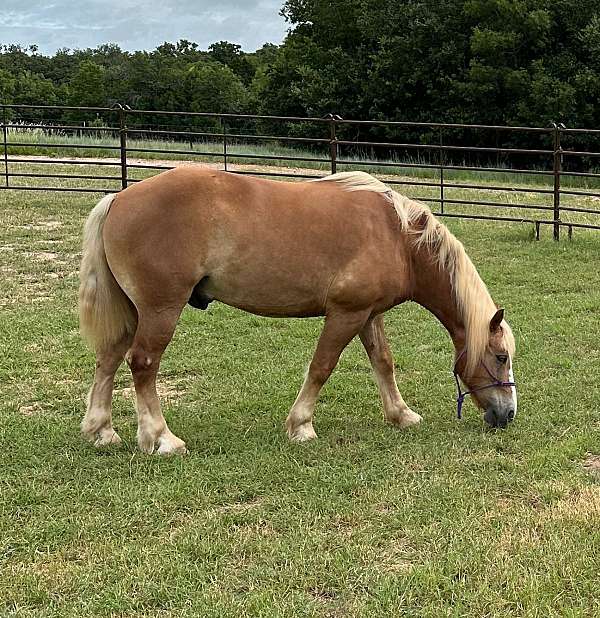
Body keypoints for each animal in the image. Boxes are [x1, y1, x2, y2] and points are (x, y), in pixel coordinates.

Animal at [79, 167, 516, 452]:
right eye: (501, 357)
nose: (508, 413)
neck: (397, 236)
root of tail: (118, 198)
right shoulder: (345, 313)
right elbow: (322, 366)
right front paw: (301, 426)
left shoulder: (368, 313)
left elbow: (383, 362)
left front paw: (401, 415)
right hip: (160, 310)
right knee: (142, 364)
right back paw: (160, 438)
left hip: (132, 313)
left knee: (108, 360)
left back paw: (102, 432)